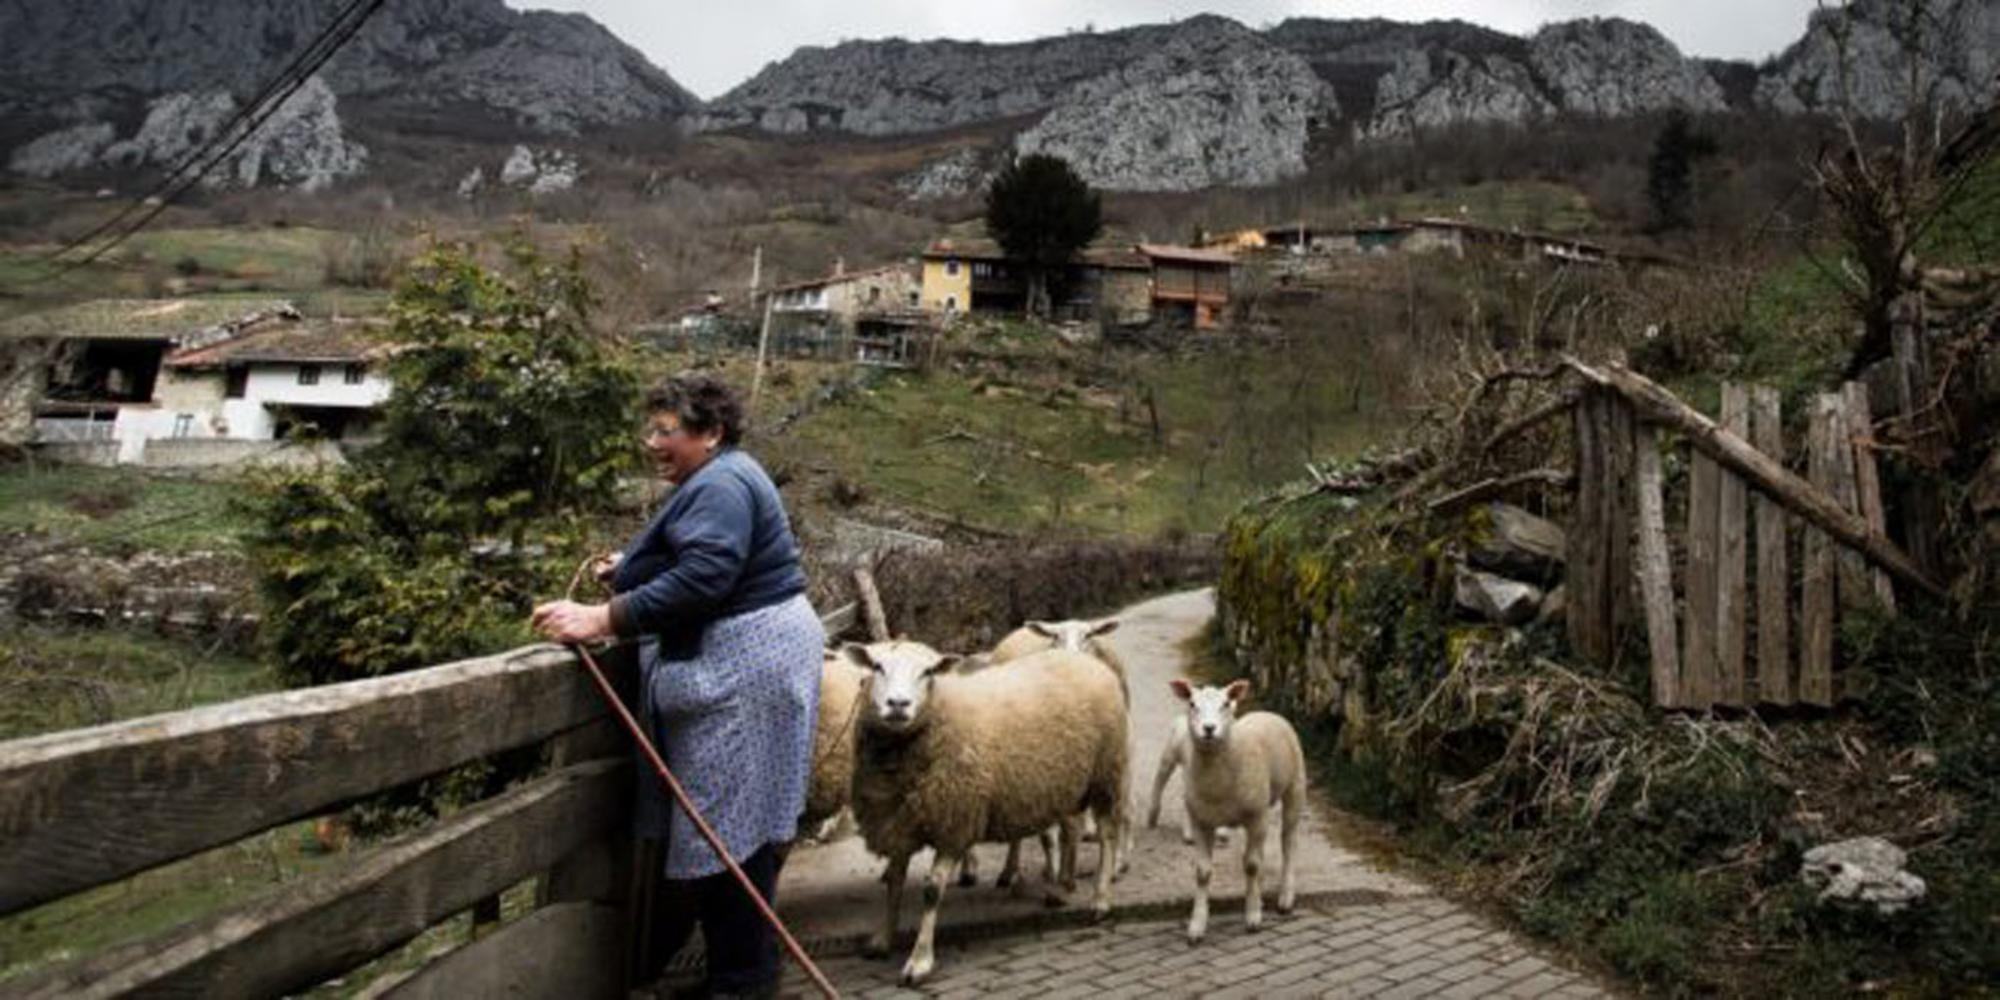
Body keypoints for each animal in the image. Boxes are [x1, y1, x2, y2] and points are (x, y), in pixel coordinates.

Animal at [840, 640, 1128, 984]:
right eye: (877, 666)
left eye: (928, 672)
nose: (898, 704)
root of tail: (1084, 659)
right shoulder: (900, 824)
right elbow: (894, 884)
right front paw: (884, 939)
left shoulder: (955, 823)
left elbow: (931, 891)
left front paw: (920, 960)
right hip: (1066, 782)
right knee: (1071, 830)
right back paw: (1061, 887)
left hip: (1106, 772)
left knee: (1107, 834)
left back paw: (1100, 899)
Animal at [1168, 676, 1312, 940]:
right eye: (1192, 704)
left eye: (1226, 703)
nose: (1209, 729)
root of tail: (1268, 712)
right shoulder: (1201, 821)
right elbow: (1202, 872)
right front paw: (1197, 924)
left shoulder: (1256, 816)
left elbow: (1252, 866)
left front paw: (1253, 915)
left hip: (1295, 788)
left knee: (1288, 842)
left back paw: (1286, 897)